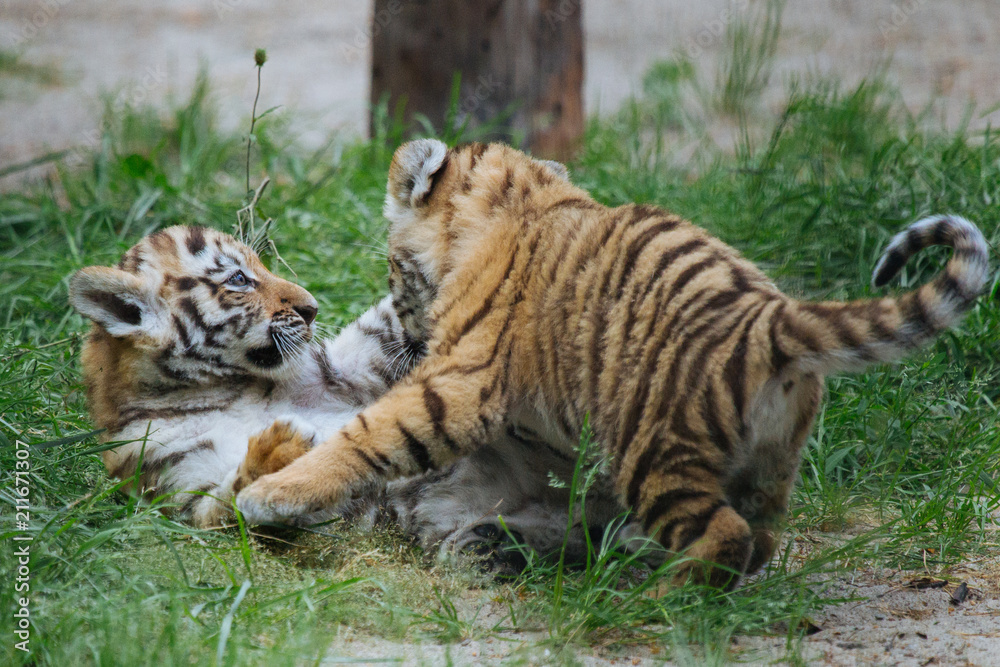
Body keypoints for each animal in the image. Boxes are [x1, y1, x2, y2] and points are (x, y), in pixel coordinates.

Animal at [69, 225, 621, 566]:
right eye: (240, 278)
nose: (312, 308)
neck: (221, 388)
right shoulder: (179, 491)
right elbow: (226, 507)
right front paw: (279, 446)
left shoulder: (345, 372)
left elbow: (388, 322)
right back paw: (491, 549)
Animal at [235, 139, 990, 589]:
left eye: (393, 268)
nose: (408, 336)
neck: (518, 201)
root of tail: (772, 318)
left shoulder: (460, 382)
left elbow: (369, 435)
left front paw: (272, 492)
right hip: (770, 461)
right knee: (762, 537)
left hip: (652, 444)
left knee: (723, 535)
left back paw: (662, 596)